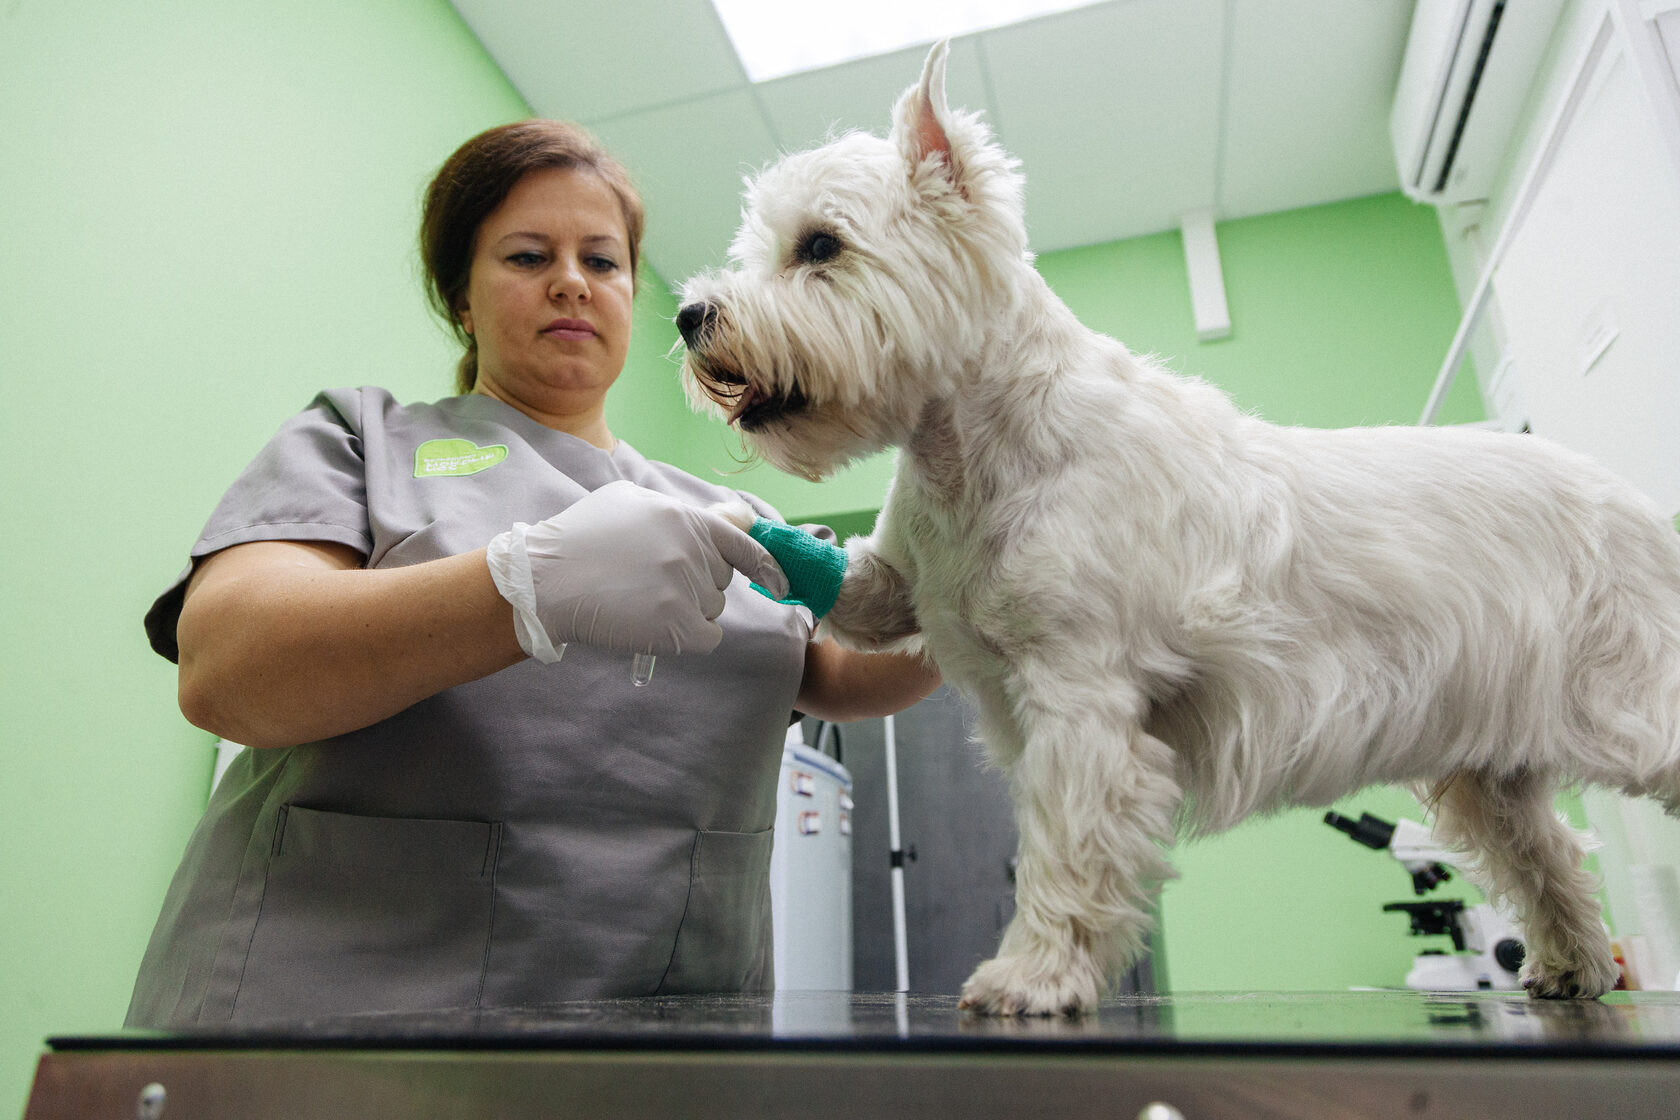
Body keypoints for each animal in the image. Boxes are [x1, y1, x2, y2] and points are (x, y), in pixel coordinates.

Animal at [678, 41, 1680, 1014]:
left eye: (821, 245)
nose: (689, 315)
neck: (969, 448)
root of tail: (1633, 502)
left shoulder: (1081, 697)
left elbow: (1066, 846)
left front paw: (1035, 976)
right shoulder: (912, 587)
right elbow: (861, 588)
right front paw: (745, 532)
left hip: (1630, 698)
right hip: (1490, 763)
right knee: (1547, 856)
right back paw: (1571, 968)